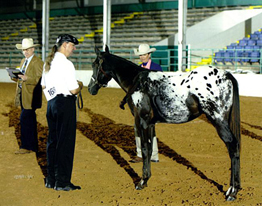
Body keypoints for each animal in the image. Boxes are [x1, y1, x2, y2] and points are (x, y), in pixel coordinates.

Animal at [88, 45, 242, 201]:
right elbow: (150, 149)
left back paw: (232, 191)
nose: (90, 88)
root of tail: (226, 74)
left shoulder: (142, 121)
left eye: (94, 64)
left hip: (218, 120)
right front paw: (147, 179)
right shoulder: (150, 124)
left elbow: (145, 148)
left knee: (233, 146)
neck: (137, 82)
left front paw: (142, 182)